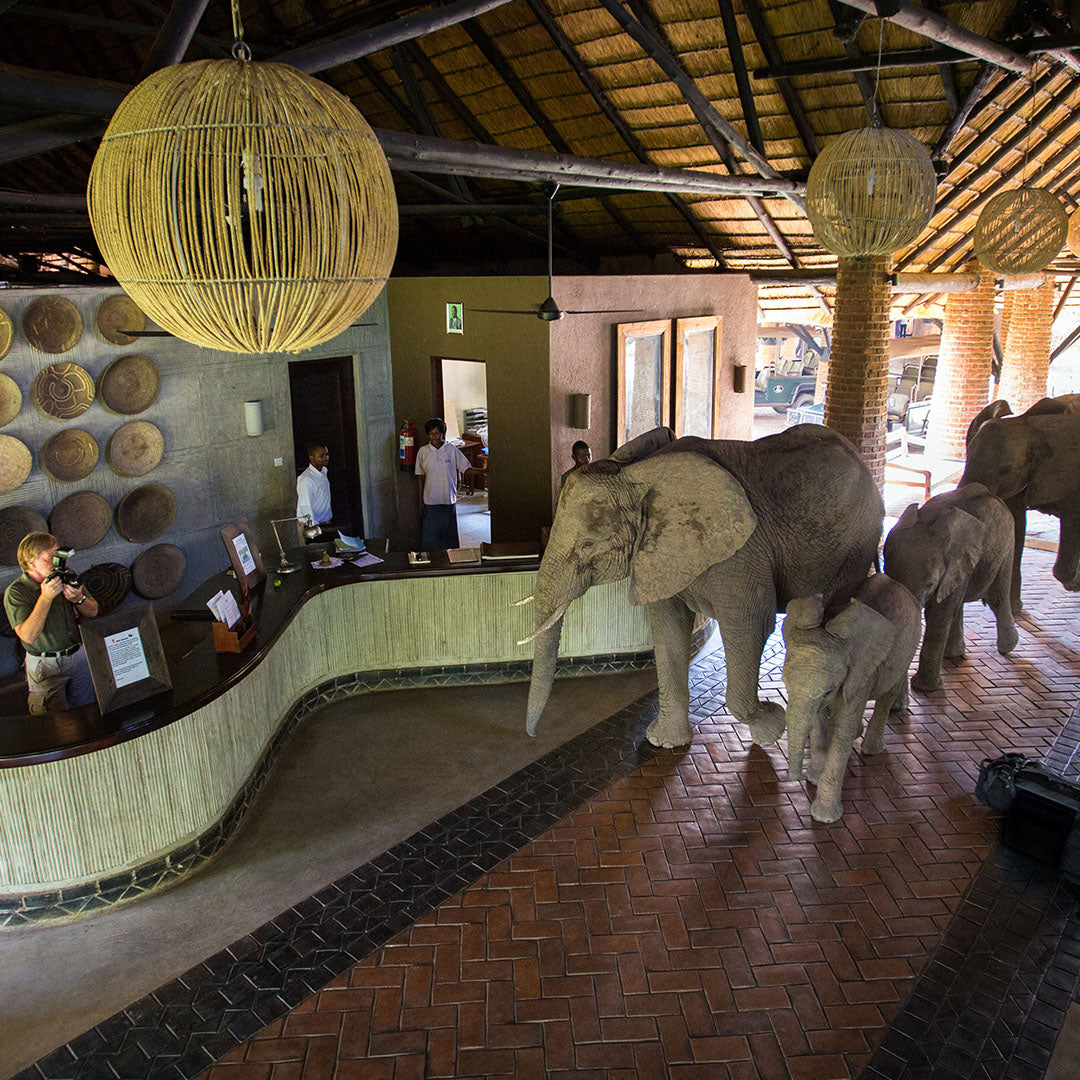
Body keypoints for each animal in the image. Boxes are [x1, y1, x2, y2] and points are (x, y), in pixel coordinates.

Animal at [524, 421, 885, 751]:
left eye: (587, 545)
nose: (532, 735)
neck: (635, 473)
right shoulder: (659, 552)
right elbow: (668, 630)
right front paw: (664, 742)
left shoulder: (742, 552)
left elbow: (749, 626)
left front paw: (772, 727)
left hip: (855, 546)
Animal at [777, 578, 920, 820]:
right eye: (784, 683)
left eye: (828, 691)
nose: (792, 780)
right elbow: (818, 722)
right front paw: (813, 778)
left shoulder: (861, 674)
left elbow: (843, 726)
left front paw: (824, 817)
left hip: (908, 647)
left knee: (887, 694)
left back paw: (871, 749)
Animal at [881, 481, 1015, 691]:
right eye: (886, 570)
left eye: (930, 584)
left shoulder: (956, 564)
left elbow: (938, 615)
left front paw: (925, 688)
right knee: (960, 606)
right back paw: (953, 654)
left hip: (1007, 544)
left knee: (998, 598)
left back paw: (1007, 647)